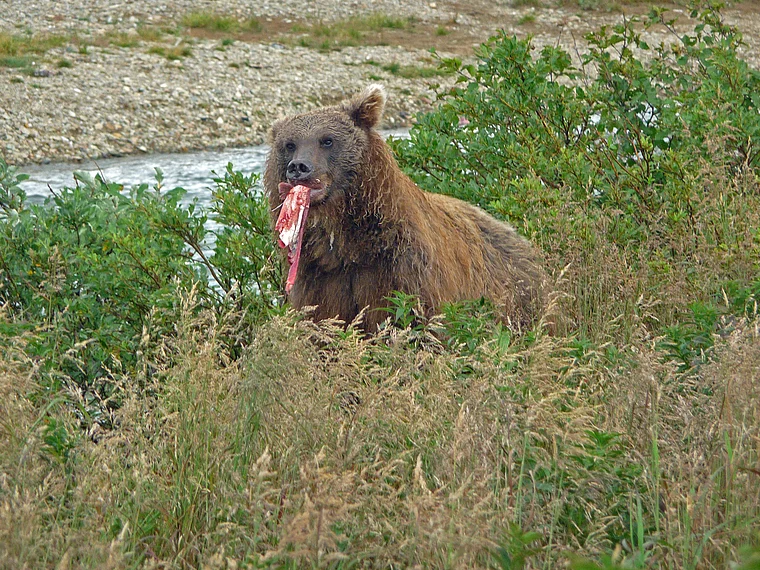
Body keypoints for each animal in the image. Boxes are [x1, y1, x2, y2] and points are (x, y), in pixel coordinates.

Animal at [264, 85, 549, 332]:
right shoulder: (320, 280)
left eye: (327, 140)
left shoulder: (402, 273)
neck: (350, 243)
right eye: (290, 144)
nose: (298, 167)